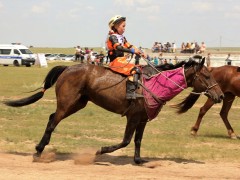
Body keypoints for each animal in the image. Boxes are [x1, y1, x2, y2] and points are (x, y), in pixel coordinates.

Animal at [3, 58, 224, 164]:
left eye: (212, 74)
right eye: (206, 76)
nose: (220, 96)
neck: (154, 83)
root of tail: (67, 68)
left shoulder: (142, 119)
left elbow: (137, 141)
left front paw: (138, 160)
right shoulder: (133, 118)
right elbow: (125, 141)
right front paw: (100, 150)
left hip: (77, 104)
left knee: (51, 118)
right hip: (67, 104)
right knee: (51, 122)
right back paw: (39, 151)